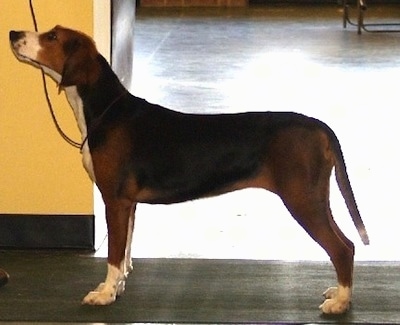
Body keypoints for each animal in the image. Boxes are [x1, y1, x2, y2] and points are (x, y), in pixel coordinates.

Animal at [9, 26, 370, 314]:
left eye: (52, 37)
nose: (13, 33)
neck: (104, 109)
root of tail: (316, 125)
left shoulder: (114, 200)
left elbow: (113, 255)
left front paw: (105, 294)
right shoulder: (129, 204)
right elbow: (124, 253)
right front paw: (118, 287)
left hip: (302, 199)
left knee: (342, 248)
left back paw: (340, 303)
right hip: (314, 197)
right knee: (345, 245)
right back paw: (339, 292)